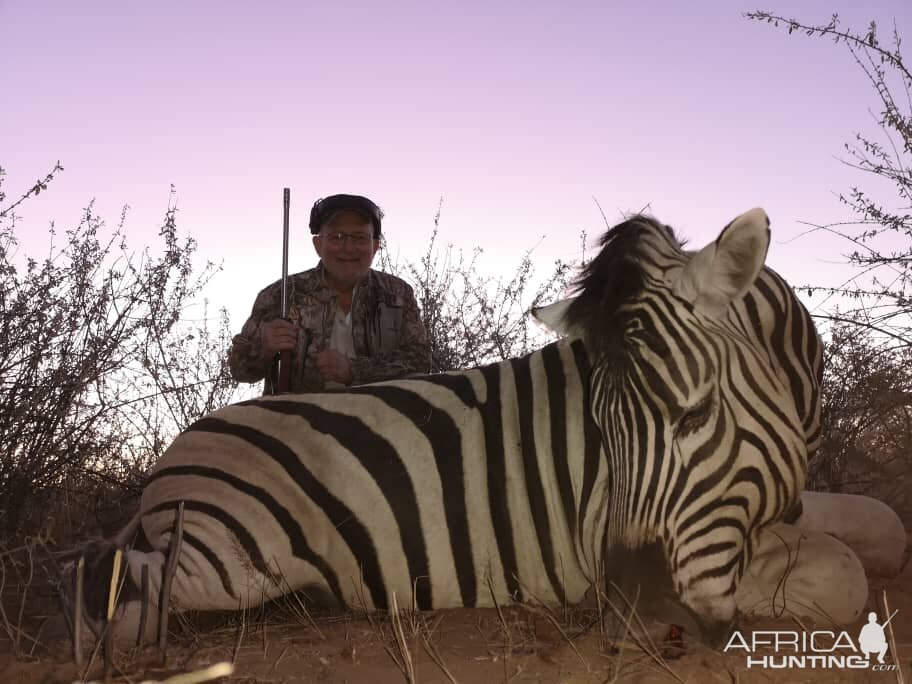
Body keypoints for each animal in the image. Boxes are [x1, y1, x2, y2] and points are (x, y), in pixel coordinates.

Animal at [73, 206, 840, 644]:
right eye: (602, 432)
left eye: (698, 414)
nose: (637, 612)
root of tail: (170, 460)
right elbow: (831, 574)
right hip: (231, 558)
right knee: (118, 576)